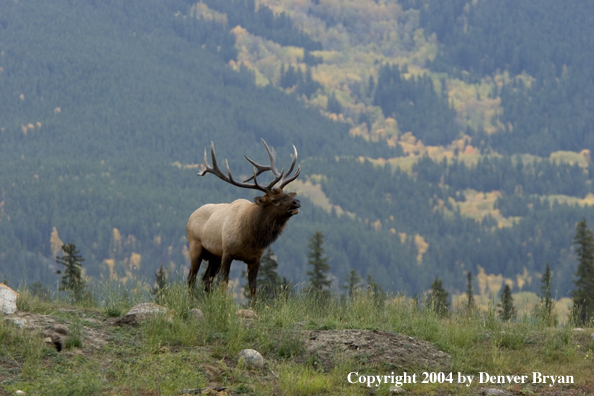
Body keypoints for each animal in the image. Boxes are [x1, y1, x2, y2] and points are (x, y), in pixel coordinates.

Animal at [187, 139, 300, 304]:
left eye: (286, 194)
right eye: (274, 199)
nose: (297, 202)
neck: (250, 237)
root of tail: (191, 216)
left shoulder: (256, 259)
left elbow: (253, 288)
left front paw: (254, 307)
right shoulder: (227, 252)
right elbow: (224, 283)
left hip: (214, 255)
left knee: (207, 278)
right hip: (196, 246)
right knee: (191, 278)